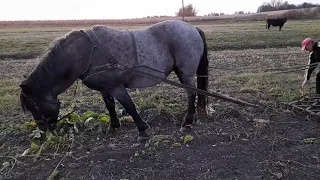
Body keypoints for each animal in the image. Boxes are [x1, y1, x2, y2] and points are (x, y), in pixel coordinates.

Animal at [20, 19, 210, 141]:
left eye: (35, 107)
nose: (42, 133)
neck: (85, 53)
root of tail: (192, 28)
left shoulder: (117, 87)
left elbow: (129, 106)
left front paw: (142, 130)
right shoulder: (105, 88)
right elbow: (110, 106)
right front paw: (113, 126)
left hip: (186, 73)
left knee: (191, 94)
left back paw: (187, 122)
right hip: (181, 72)